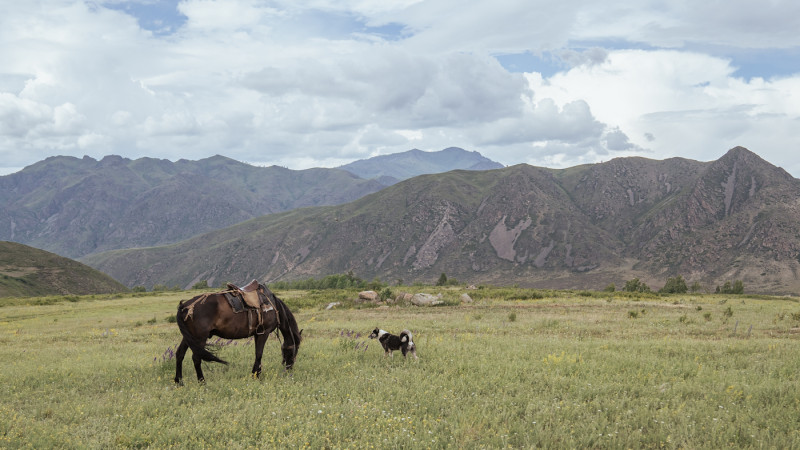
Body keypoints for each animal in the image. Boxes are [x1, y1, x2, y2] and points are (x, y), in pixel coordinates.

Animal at [173, 282, 302, 384]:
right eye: (295, 350)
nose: (289, 369)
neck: (273, 305)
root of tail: (184, 306)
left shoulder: (257, 334)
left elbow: (257, 354)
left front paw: (255, 374)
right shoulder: (263, 333)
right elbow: (259, 354)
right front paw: (256, 375)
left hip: (189, 337)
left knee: (180, 354)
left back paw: (179, 382)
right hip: (199, 337)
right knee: (196, 358)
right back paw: (202, 382)